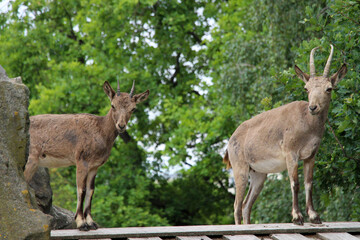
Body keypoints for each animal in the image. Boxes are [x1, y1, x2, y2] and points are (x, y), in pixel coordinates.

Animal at [23, 79, 150, 230]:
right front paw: (81, 223)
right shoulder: (81, 161)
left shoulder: (94, 166)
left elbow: (91, 190)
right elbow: (81, 189)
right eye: (113, 105)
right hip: (31, 160)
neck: (101, 131)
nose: (121, 126)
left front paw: (91, 222)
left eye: (133, 108)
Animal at [224, 44, 348, 225]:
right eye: (306, 88)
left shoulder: (311, 155)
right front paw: (297, 217)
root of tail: (231, 139)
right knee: (237, 206)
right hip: (240, 168)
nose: (313, 107)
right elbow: (295, 183)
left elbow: (309, 183)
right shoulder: (291, 153)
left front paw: (314, 216)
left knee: (246, 205)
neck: (307, 124)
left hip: (258, 174)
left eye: (329, 88)